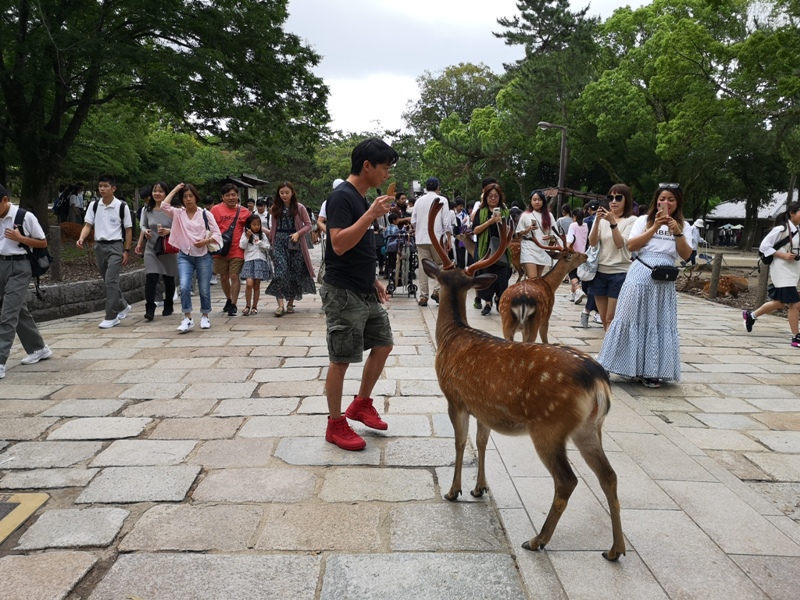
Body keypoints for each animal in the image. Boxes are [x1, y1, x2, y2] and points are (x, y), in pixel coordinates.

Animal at [422, 202, 625, 562]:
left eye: (444, 280)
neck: (451, 336)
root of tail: (599, 382)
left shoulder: (454, 397)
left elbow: (460, 443)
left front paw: (454, 490)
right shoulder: (483, 405)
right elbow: (482, 441)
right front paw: (479, 488)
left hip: (549, 425)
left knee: (567, 480)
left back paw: (537, 539)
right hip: (590, 428)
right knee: (609, 475)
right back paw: (615, 549)